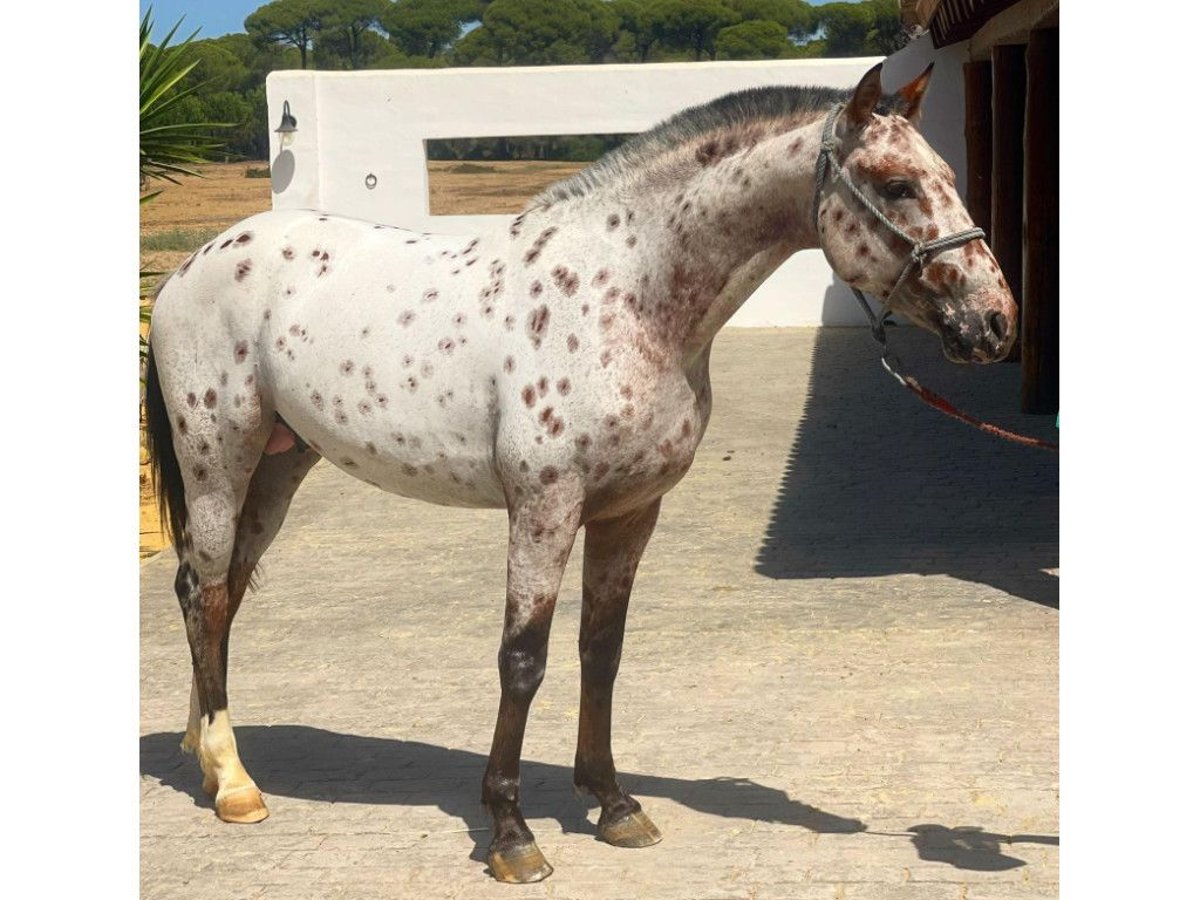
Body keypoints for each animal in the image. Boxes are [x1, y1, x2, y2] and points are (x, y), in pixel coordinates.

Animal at [145, 65, 1017, 888]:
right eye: (897, 185)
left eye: (948, 175)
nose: (996, 322)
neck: (622, 294)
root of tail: (194, 263)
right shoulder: (545, 507)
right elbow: (522, 659)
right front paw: (511, 834)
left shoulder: (630, 510)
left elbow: (603, 650)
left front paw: (613, 803)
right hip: (218, 458)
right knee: (204, 591)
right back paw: (234, 783)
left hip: (279, 466)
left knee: (221, 593)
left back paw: (205, 751)